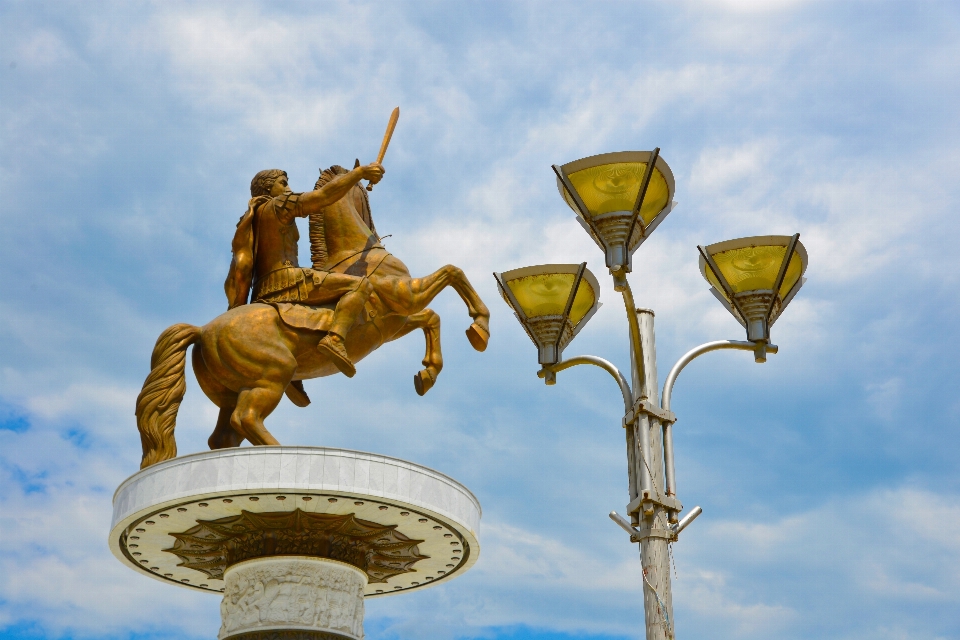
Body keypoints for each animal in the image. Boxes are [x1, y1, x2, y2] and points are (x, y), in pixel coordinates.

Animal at [135, 169, 492, 470]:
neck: (356, 257)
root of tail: (201, 330)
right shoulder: (406, 295)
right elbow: (452, 273)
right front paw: (480, 328)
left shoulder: (393, 322)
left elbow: (431, 318)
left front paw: (427, 374)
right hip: (272, 375)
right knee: (245, 418)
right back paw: (283, 453)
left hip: (231, 392)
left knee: (223, 436)